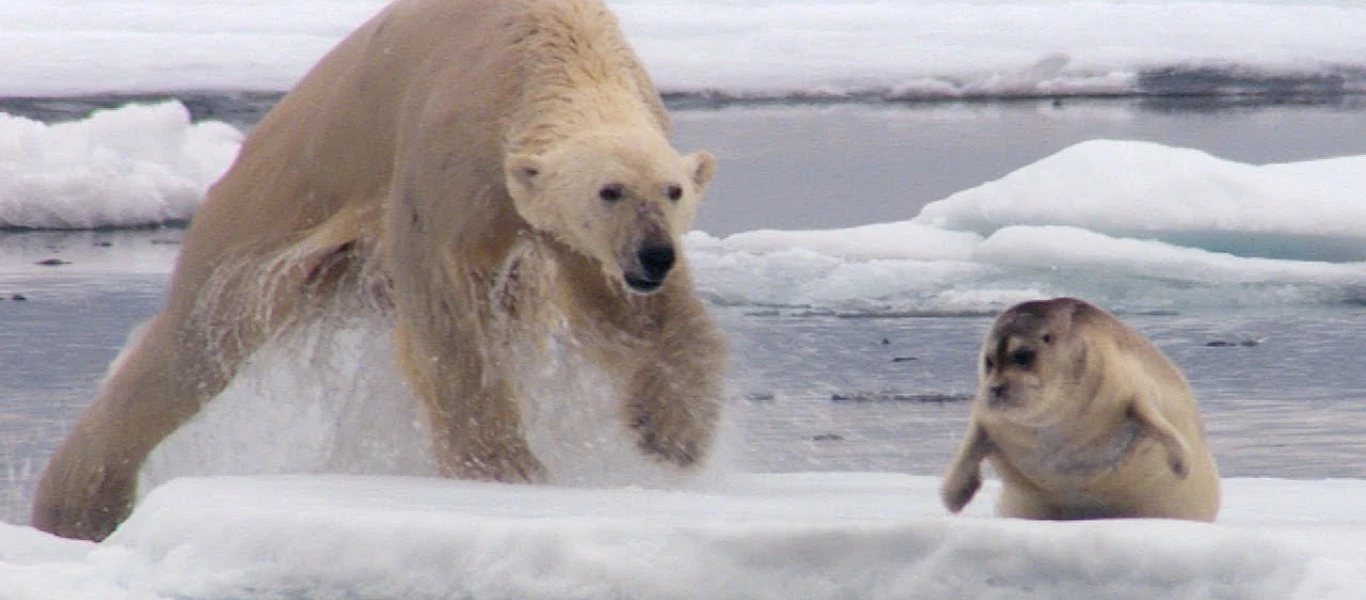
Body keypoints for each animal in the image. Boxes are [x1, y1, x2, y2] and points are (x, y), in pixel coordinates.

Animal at [32, 0, 726, 543]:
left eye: (672, 191)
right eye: (610, 191)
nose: (654, 255)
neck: (550, 45)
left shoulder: (571, 232)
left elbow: (637, 316)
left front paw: (674, 434)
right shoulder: (450, 153)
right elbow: (448, 315)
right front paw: (508, 471)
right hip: (279, 195)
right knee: (195, 341)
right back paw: (78, 504)